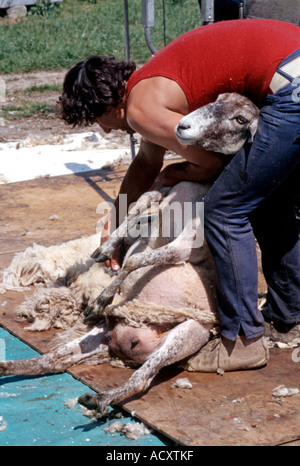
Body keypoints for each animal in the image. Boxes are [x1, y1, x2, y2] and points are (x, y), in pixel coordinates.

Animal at [0, 92, 260, 418]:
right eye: (217, 98)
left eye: (241, 120)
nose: (182, 127)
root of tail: (125, 345)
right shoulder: (163, 195)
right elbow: (140, 205)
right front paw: (105, 248)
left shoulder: (186, 243)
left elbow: (135, 260)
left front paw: (101, 299)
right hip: (99, 336)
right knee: (53, 360)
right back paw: (7, 366)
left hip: (185, 335)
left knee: (142, 378)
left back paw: (100, 399)